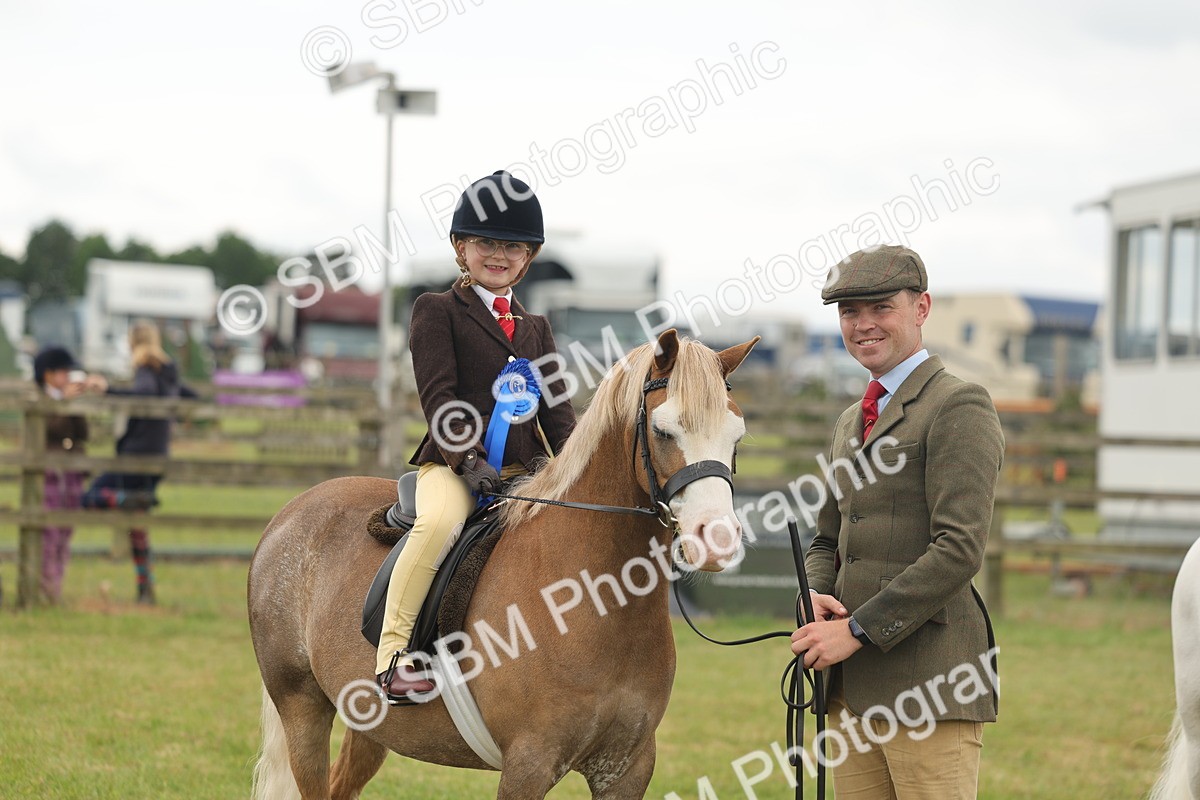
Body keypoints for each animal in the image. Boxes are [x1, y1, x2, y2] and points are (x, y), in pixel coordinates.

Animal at [247, 329, 759, 799]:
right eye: (664, 431)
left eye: (737, 436)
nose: (717, 540)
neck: (594, 600)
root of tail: (293, 511)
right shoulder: (528, 765)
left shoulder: (626, 770)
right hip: (303, 708)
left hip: (371, 724)